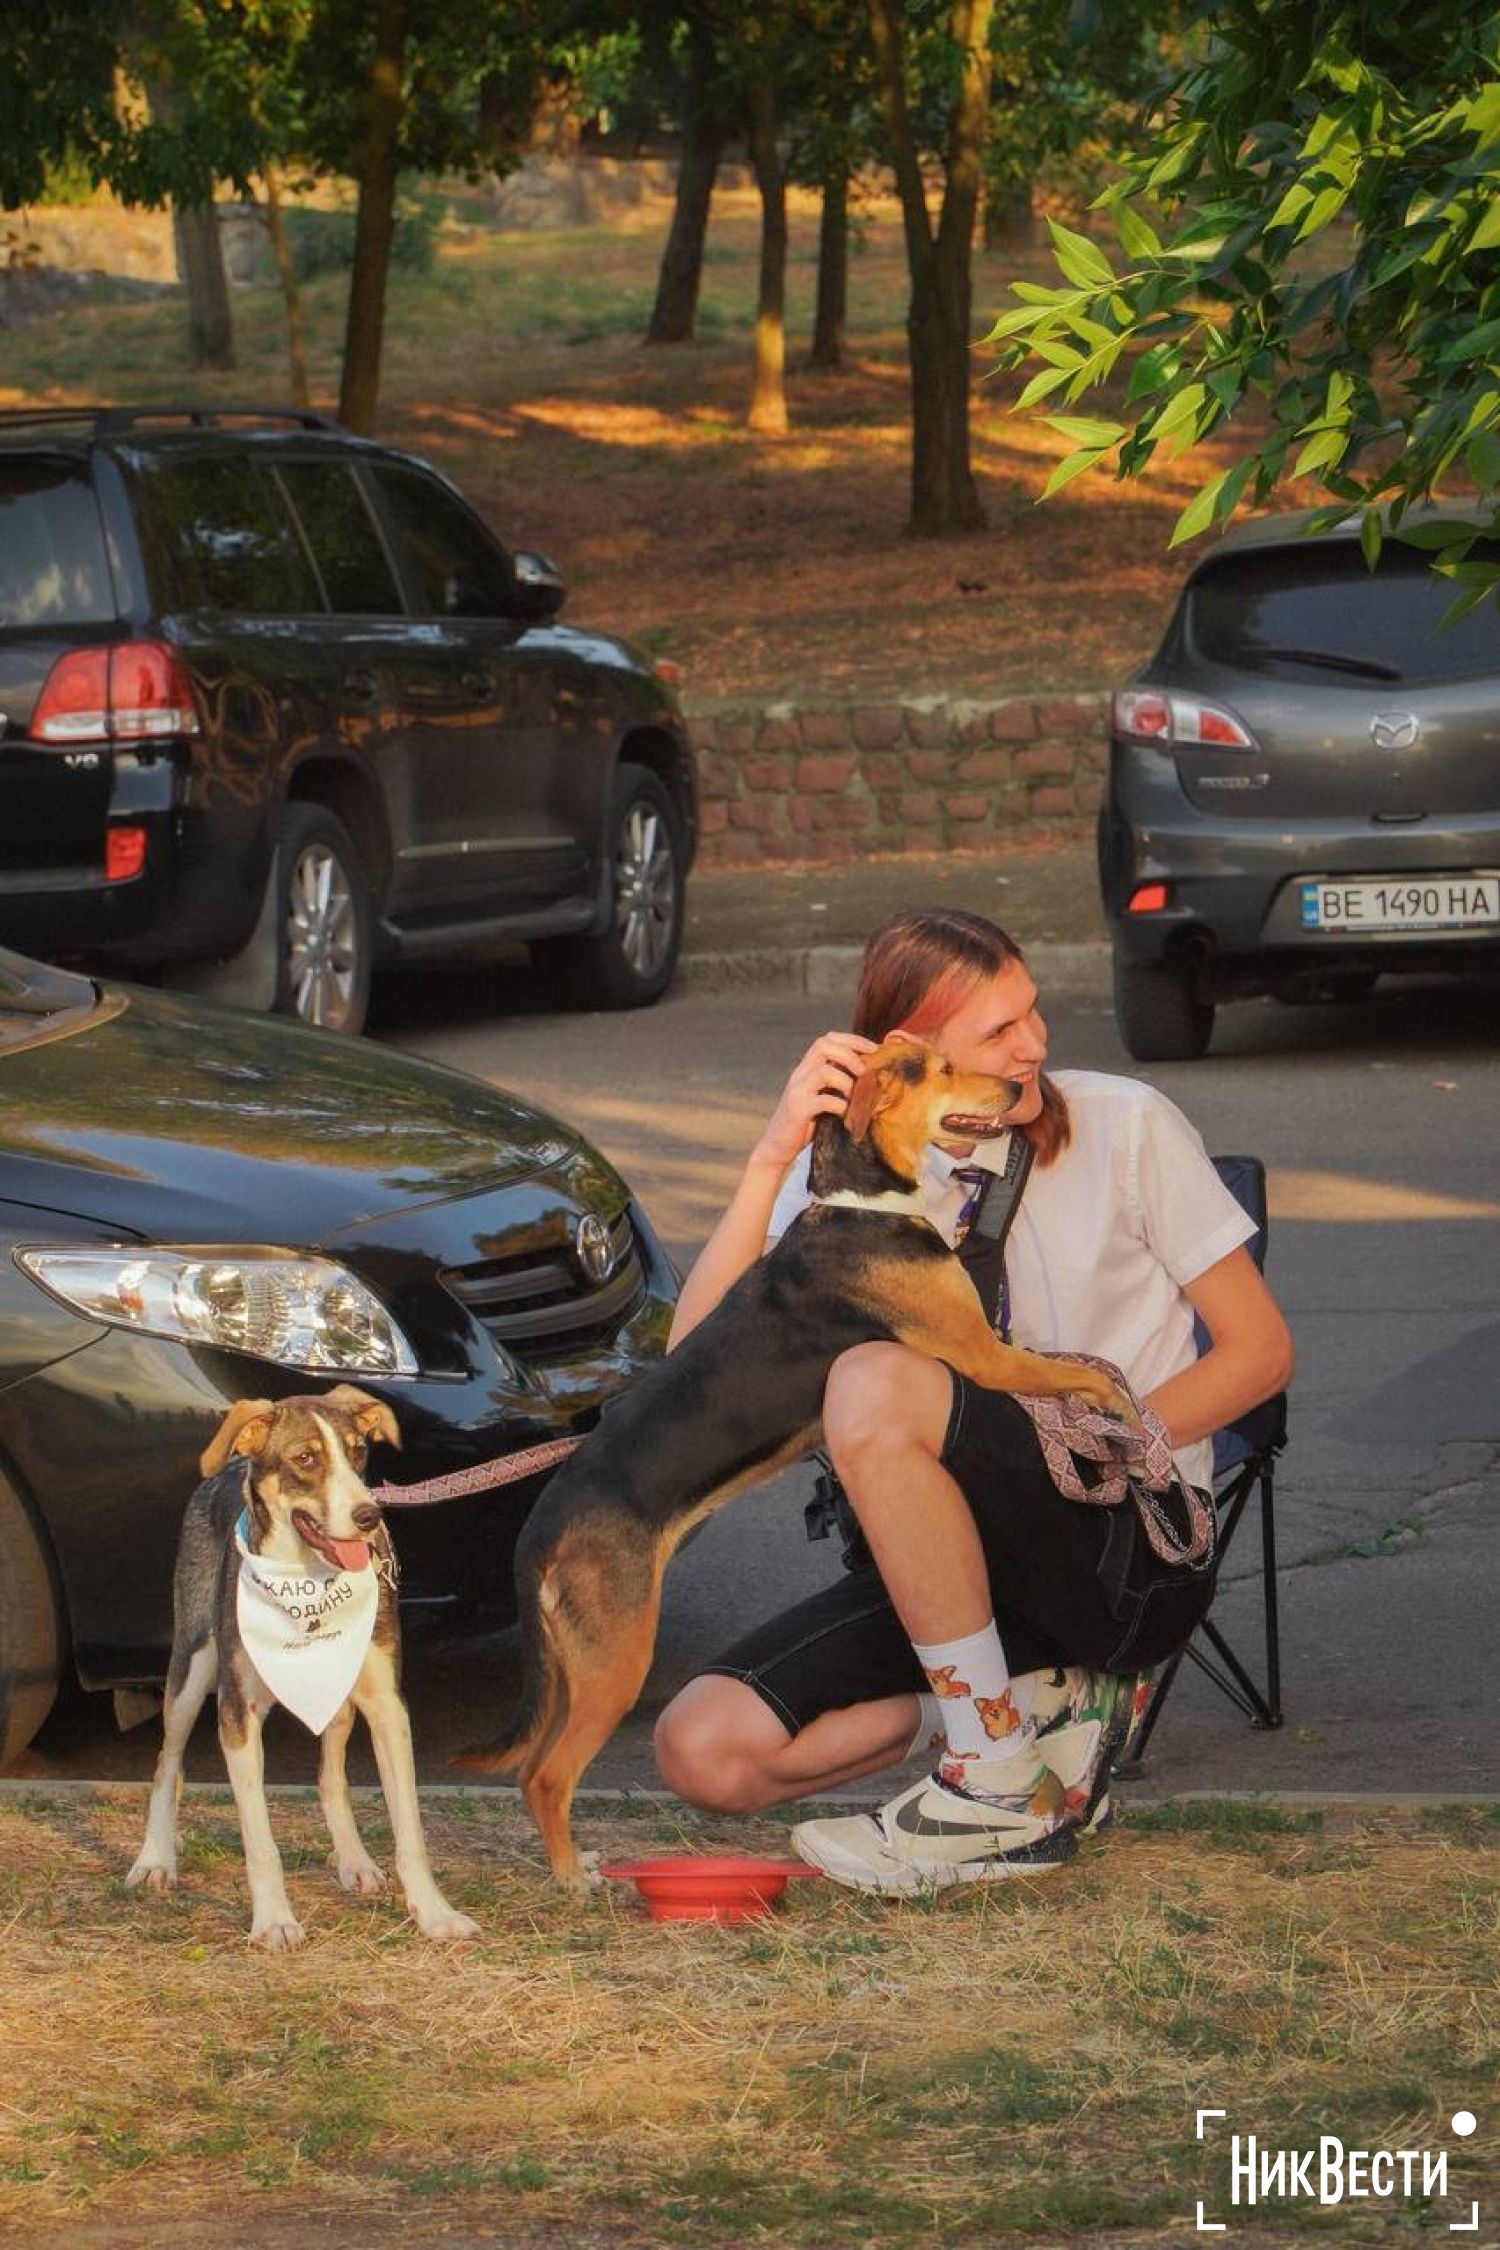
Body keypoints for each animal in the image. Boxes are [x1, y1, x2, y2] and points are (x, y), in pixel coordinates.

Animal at [132, 1377, 481, 1944]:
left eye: (358, 1452)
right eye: (306, 1459)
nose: (369, 1516)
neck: (306, 1581)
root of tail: (227, 1467)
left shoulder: (387, 1706)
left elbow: (409, 1828)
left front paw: (433, 1911)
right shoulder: (237, 1714)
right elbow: (260, 1842)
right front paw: (273, 1919)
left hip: (337, 1694)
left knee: (331, 1777)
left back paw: (354, 1859)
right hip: (192, 1665)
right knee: (168, 1763)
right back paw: (155, 1858)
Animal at [461, 1035, 1137, 1881]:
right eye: (941, 1067)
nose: (1018, 1087)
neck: (863, 1203)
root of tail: (541, 1524)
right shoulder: (983, 1355)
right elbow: (1072, 1372)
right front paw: (1118, 1401)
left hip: (573, 1660)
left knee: (531, 1769)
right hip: (615, 1656)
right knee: (548, 1774)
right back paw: (573, 1879)